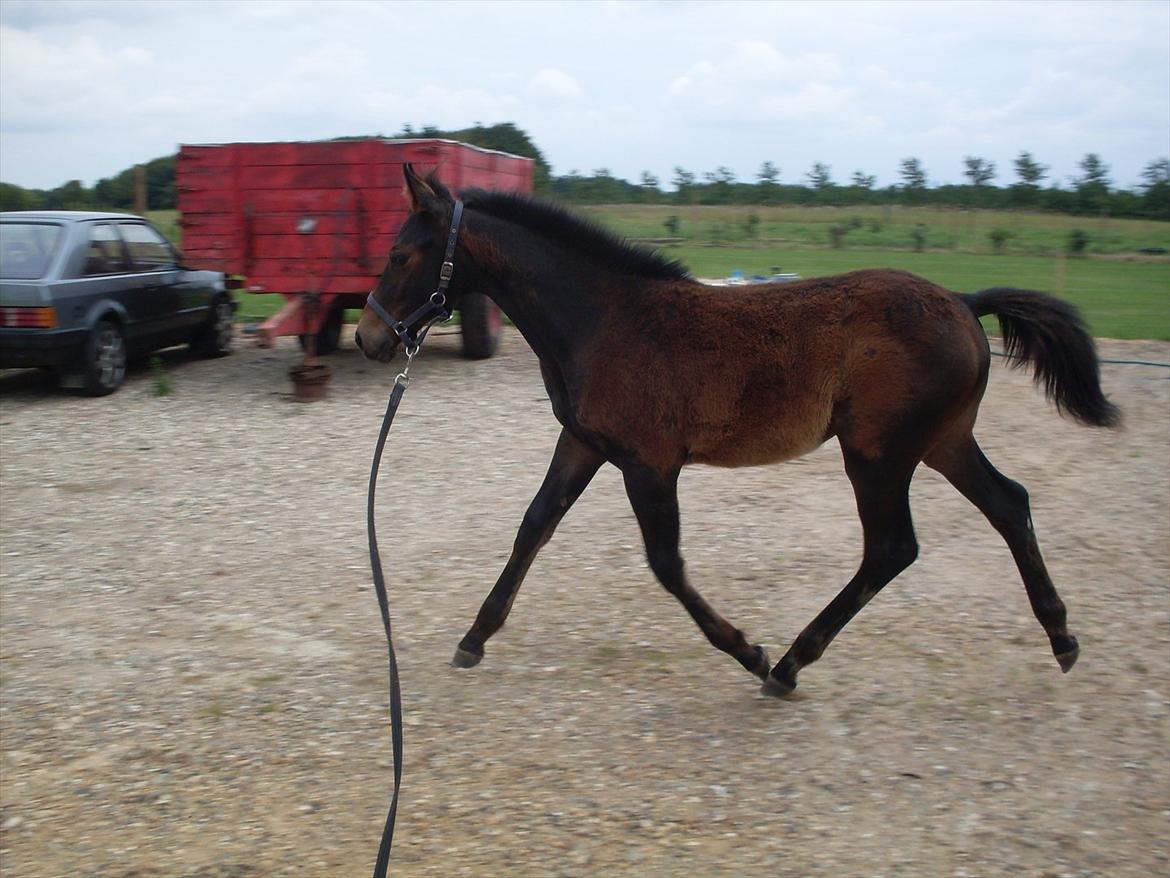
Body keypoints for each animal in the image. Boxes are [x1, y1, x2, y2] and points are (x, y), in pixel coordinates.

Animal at [351, 166, 1118, 702]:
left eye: (399, 255)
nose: (368, 339)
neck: (604, 319)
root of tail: (963, 300)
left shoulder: (649, 464)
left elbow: (666, 563)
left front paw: (747, 650)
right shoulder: (585, 444)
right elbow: (534, 525)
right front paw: (474, 638)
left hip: (878, 454)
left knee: (893, 547)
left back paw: (787, 665)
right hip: (941, 442)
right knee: (1009, 503)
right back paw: (1062, 636)